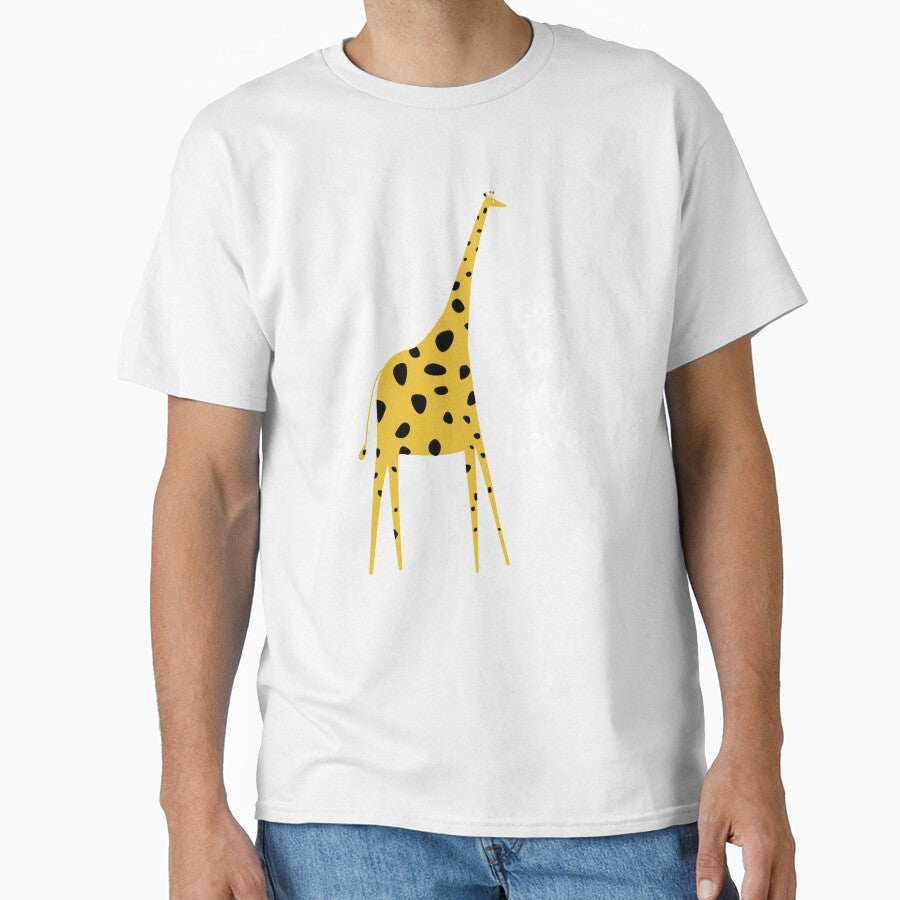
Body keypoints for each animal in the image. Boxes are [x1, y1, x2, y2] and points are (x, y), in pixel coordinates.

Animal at [359, 192, 511, 574]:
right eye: (492, 198)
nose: (503, 204)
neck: (452, 336)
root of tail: (378, 378)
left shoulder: (468, 439)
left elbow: (476, 496)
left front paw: (483, 564)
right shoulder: (475, 431)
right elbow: (487, 488)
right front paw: (501, 557)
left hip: (393, 445)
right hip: (388, 440)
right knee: (379, 486)